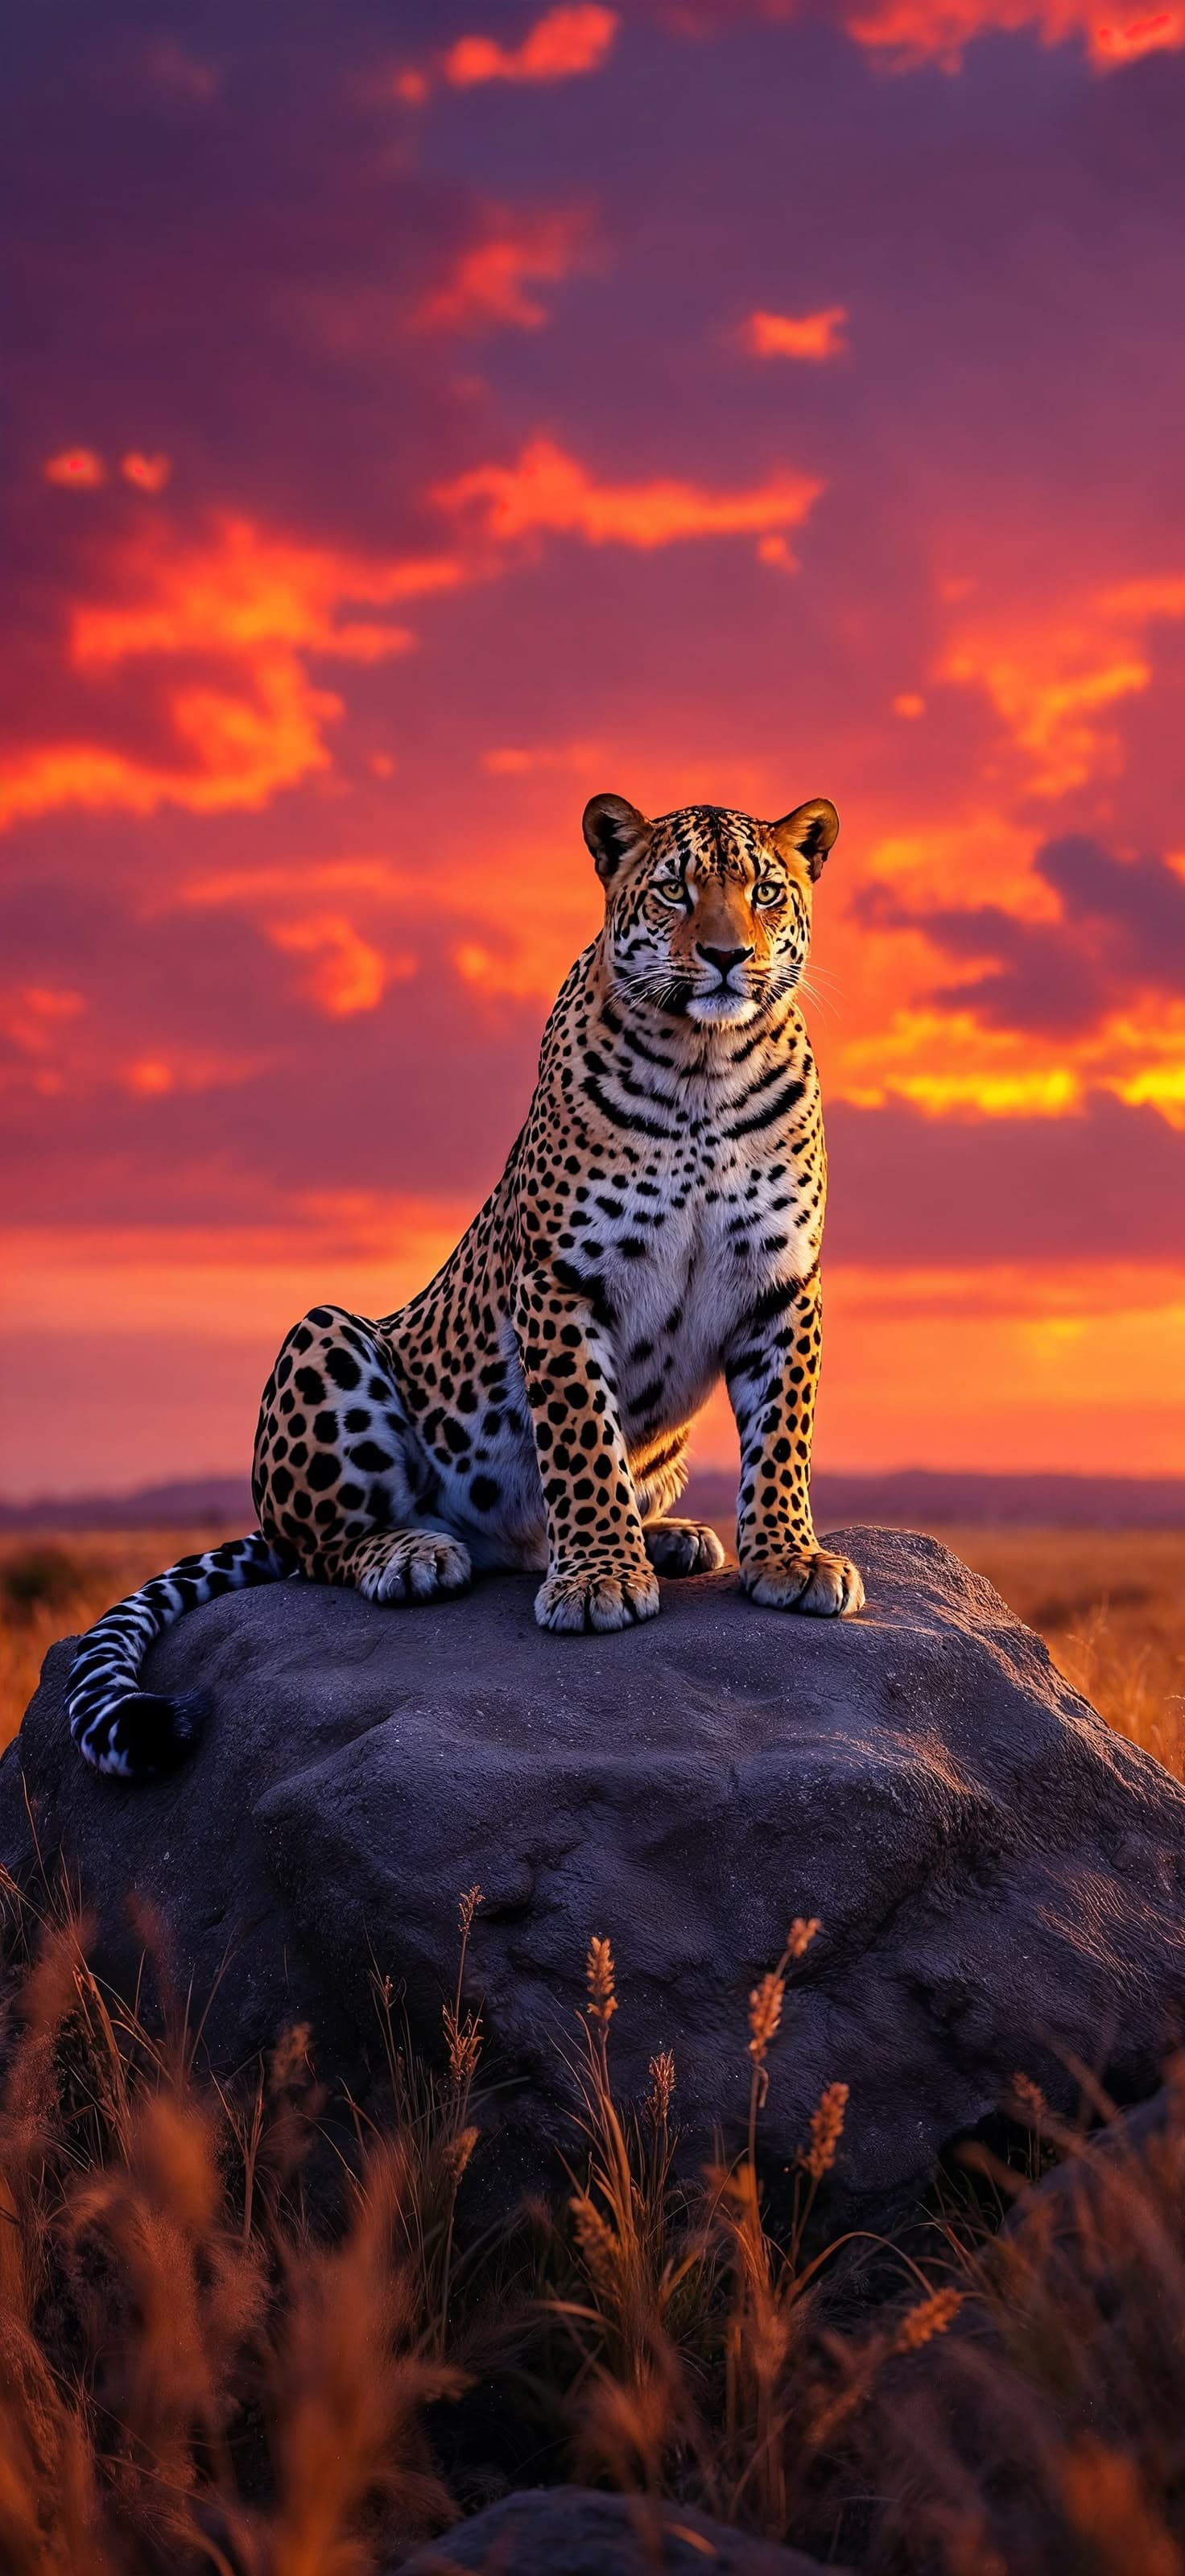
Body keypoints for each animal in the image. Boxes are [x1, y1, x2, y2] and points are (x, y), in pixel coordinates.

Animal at [66, 790, 865, 1776]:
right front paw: (600, 1576)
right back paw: (412, 1554)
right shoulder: (561, 1279)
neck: (702, 1070)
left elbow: (781, 1436)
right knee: (315, 1548)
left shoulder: (781, 1283)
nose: (726, 956)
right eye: (675, 892)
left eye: (764, 893)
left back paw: (671, 1538)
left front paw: (790, 1557)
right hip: (323, 1337)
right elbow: (581, 1438)